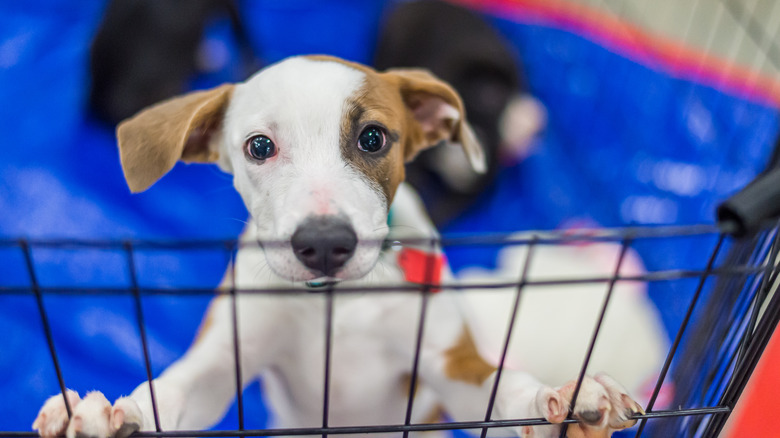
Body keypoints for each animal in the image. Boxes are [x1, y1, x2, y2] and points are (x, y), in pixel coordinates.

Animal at [32, 56, 640, 436]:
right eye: (259, 147)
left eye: (373, 138)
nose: (324, 245)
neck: (336, 302)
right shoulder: (223, 360)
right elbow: (175, 389)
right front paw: (116, 415)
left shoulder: (446, 368)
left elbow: (500, 387)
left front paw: (563, 401)